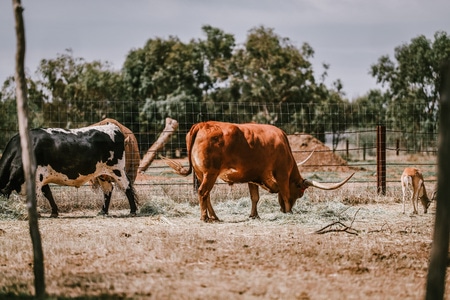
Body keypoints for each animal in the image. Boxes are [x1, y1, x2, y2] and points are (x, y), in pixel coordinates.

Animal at [0, 123, 137, 217]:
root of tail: (112, 127)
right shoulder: (42, 177)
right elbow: (48, 193)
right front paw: (54, 212)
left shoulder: (37, 177)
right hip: (102, 174)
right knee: (108, 189)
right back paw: (103, 211)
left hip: (117, 169)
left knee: (127, 186)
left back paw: (133, 211)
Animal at [163, 120, 356, 221]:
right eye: (301, 192)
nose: (285, 209)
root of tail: (202, 124)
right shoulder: (281, 173)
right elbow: (285, 193)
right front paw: (289, 212)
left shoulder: (252, 176)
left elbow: (254, 197)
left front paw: (254, 215)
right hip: (210, 173)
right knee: (203, 192)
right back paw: (205, 218)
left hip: (203, 174)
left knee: (206, 194)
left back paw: (215, 217)